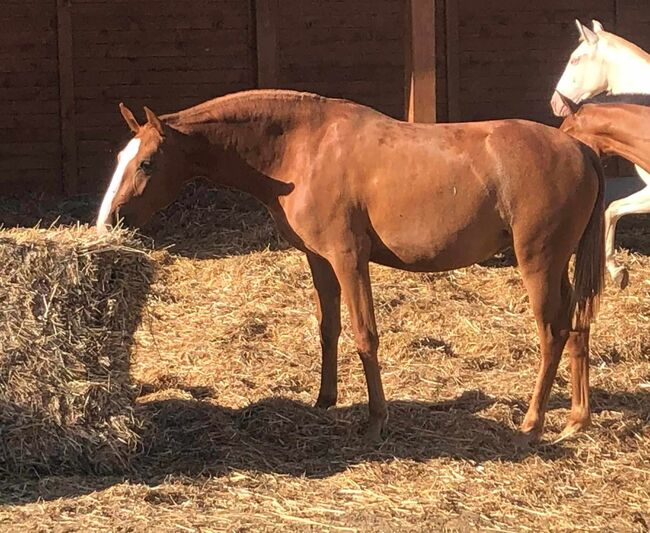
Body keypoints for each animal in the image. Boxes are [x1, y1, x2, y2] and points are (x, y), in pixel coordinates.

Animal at [95, 90, 604, 440]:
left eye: (147, 163)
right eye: (120, 157)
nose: (108, 220)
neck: (303, 148)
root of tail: (579, 149)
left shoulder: (348, 258)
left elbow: (365, 336)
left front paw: (376, 421)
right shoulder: (319, 260)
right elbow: (329, 327)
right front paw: (324, 400)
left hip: (538, 263)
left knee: (553, 333)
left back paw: (533, 423)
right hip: (559, 266)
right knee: (578, 327)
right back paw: (576, 419)